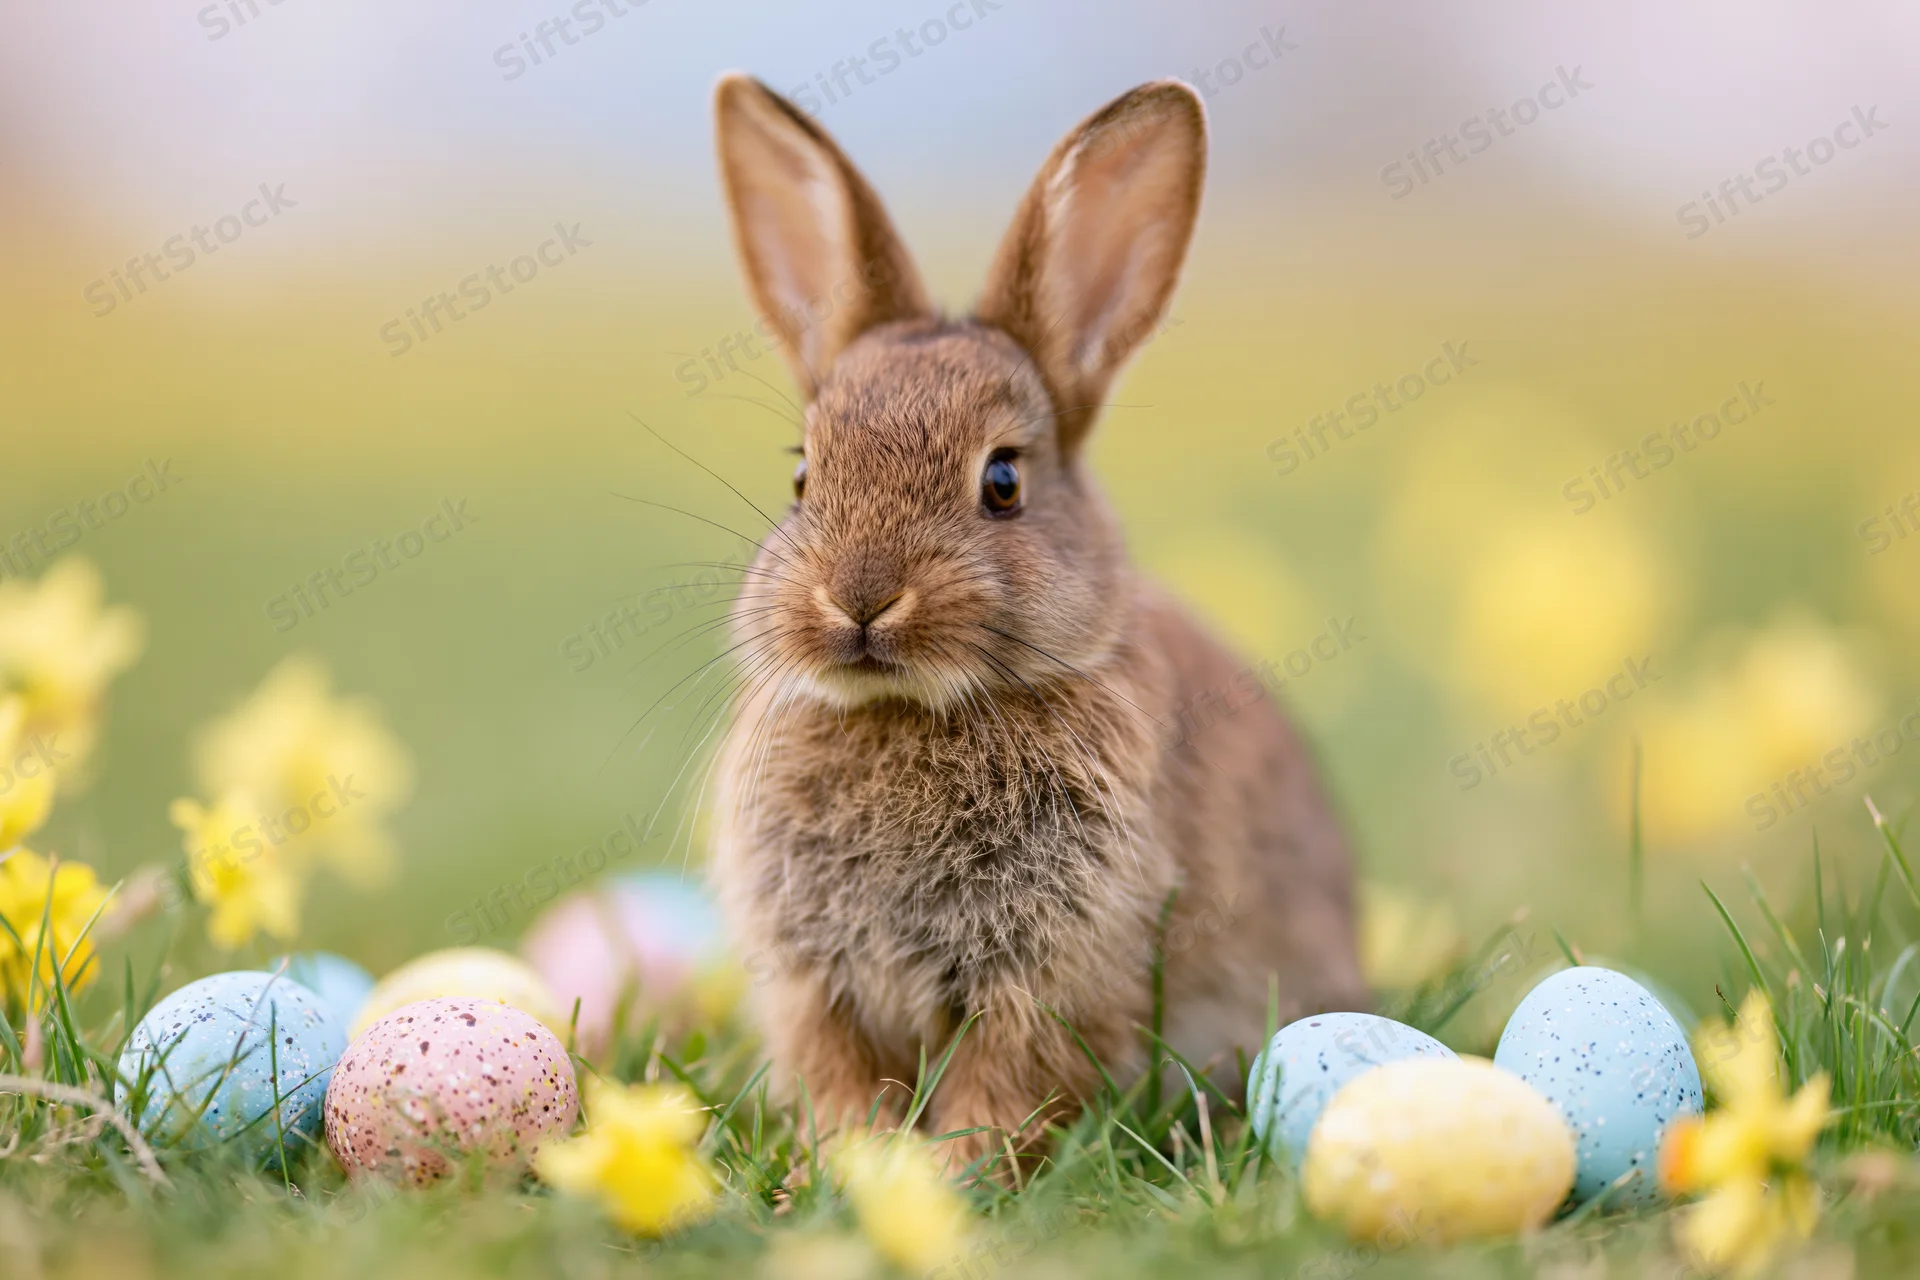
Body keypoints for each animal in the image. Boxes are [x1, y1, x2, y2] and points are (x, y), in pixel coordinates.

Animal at [705, 73, 1369, 1175]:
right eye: (802, 475)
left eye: (1003, 482)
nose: (859, 597)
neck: (906, 711)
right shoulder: (812, 983)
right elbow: (838, 1075)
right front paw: (851, 1164)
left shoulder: (1061, 971)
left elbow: (1008, 1078)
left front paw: (952, 1171)